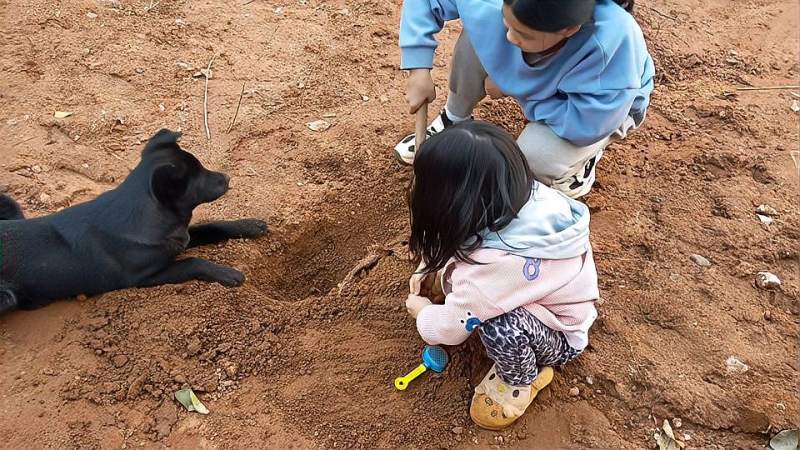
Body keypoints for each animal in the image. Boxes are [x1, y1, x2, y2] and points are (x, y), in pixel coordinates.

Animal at [0, 128, 268, 314]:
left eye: (202, 167)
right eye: (198, 179)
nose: (227, 178)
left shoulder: (182, 238)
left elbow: (213, 226)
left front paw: (250, 224)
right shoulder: (143, 278)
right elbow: (193, 261)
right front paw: (228, 273)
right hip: (7, 296)